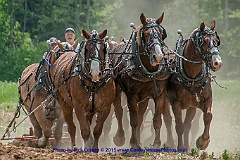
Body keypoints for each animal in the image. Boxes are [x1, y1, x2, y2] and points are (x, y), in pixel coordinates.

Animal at [109, 12, 174, 149]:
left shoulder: (159, 95)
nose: (158, 56)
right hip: (117, 90)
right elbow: (133, 120)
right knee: (119, 111)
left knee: (141, 116)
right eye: (147, 34)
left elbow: (156, 120)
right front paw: (134, 143)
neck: (149, 71)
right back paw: (120, 137)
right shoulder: (131, 96)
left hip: (144, 97)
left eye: (161, 33)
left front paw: (156, 143)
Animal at [166, 20, 222, 150]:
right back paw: (171, 142)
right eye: (204, 41)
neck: (192, 77)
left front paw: (203, 141)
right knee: (167, 121)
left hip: (191, 105)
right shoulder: (175, 103)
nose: (217, 62)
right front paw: (180, 147)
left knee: (188, 125)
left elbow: (208, 116)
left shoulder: (206, 99)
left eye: (217, 40)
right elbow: (179, 125)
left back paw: (187, 146)